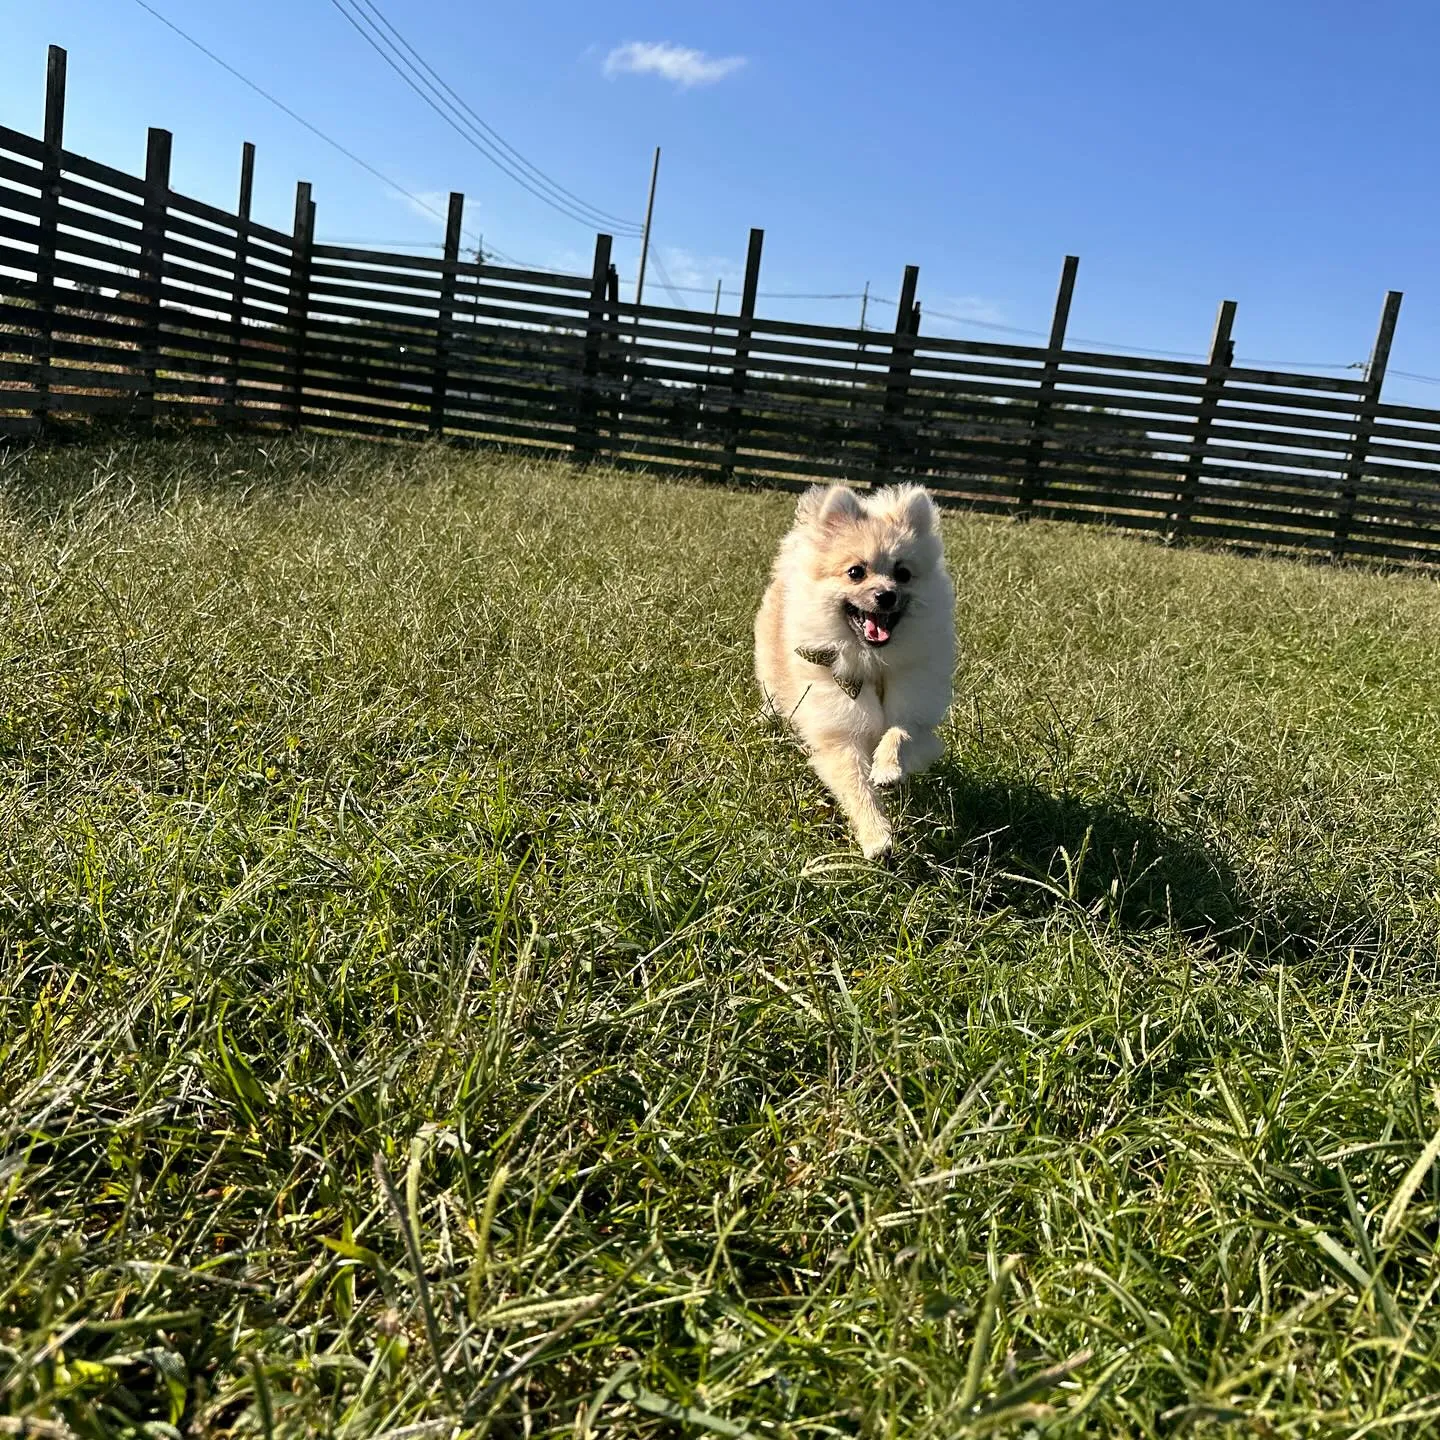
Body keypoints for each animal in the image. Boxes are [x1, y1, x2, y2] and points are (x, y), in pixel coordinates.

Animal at [754, 483, 956, 858]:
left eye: (903, 574)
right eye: (855, 572)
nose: (886, 595)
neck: (873, 663)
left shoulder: (917, 717)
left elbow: (900, 733)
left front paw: (888, 769)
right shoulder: (840, 735)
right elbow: (858, 788)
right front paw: (877, 838)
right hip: (772, 681)